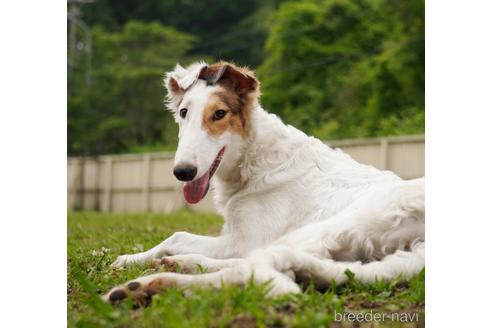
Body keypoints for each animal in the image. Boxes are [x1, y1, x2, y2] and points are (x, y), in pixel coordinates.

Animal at [104, 60, 426, 304]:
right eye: (184, 112)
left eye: (219, 114)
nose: (182, 172)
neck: (256, 159)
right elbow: (175, 239)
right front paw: (132, 258)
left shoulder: (244, 239)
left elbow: (177, 235)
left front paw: (133, 259)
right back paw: (167, 271)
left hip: (326, 229)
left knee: (255, 270)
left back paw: (147, 285)